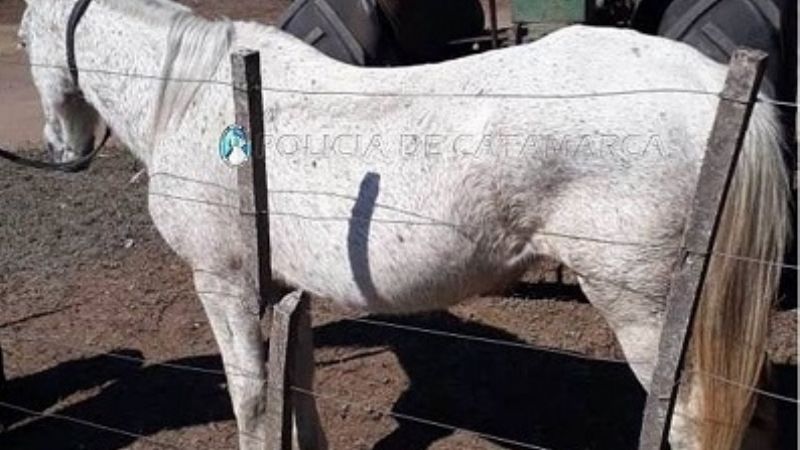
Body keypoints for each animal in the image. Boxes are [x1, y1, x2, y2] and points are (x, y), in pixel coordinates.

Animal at [17, 0, 789, 449]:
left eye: (22, 38)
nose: (61, 149)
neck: (204, 98)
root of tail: (709, 86)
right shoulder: (287, 287)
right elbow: (294, 385)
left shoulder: (224, 284)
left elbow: (251, 396)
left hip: (647, 310)